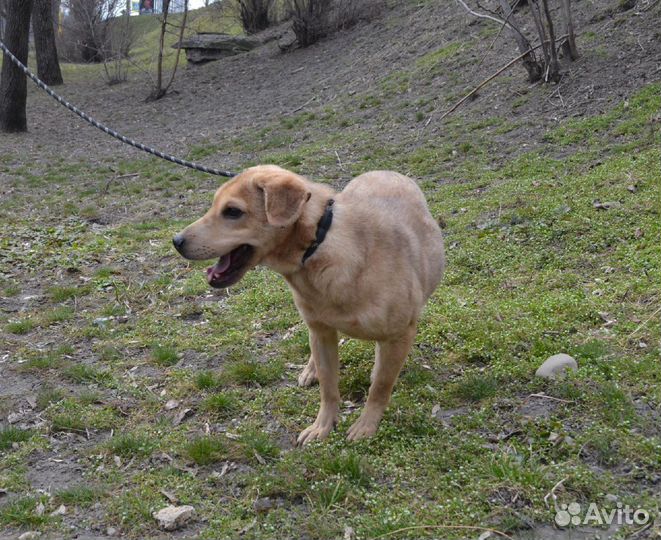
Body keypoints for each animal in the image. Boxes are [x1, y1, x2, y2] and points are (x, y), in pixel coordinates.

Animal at [173, 165, 446, 442]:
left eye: (232, 211)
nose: (176, 241)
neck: (319, 247)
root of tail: (384, 170)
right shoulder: (321, 332)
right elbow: (328, 388)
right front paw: (322, 425)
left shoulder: (399, 335)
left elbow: (380, 387)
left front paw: (367, 425)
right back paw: (310, 370)